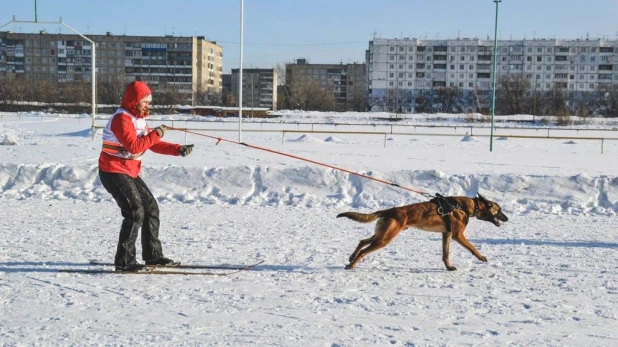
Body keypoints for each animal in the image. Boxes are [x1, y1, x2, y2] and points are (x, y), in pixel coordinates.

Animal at [336, 193, 506, 272]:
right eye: (499, 210)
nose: (507, 218)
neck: (463, 206)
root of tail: (390, 210)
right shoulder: (458, 235)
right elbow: (472, 247)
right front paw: (481, 257)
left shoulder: (446, 234)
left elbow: (445, 254)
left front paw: (449, 267)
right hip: (384, 239)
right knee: (364, 250)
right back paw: (352, 264)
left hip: (382, 235)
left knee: (362, 241)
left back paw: (351, 257)